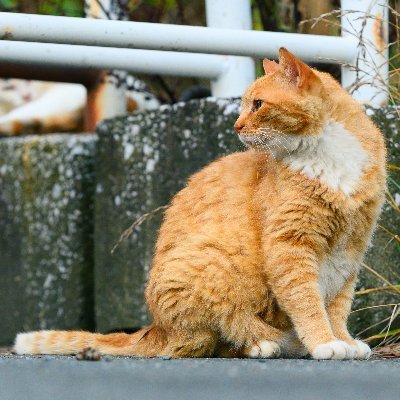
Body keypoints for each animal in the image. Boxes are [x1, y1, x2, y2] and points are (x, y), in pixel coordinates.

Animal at [14, 49, 384, 360]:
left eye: (258, 104)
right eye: (244, 105)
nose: (236, 125)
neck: (328, 153)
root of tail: (154, 328)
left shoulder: (350, 250)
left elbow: (336, 304)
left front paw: (343, 340)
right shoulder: (291, 245)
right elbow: (308, 301)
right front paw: (323, 342)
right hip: (214, 261)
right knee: (215, 331)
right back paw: (266, 343)